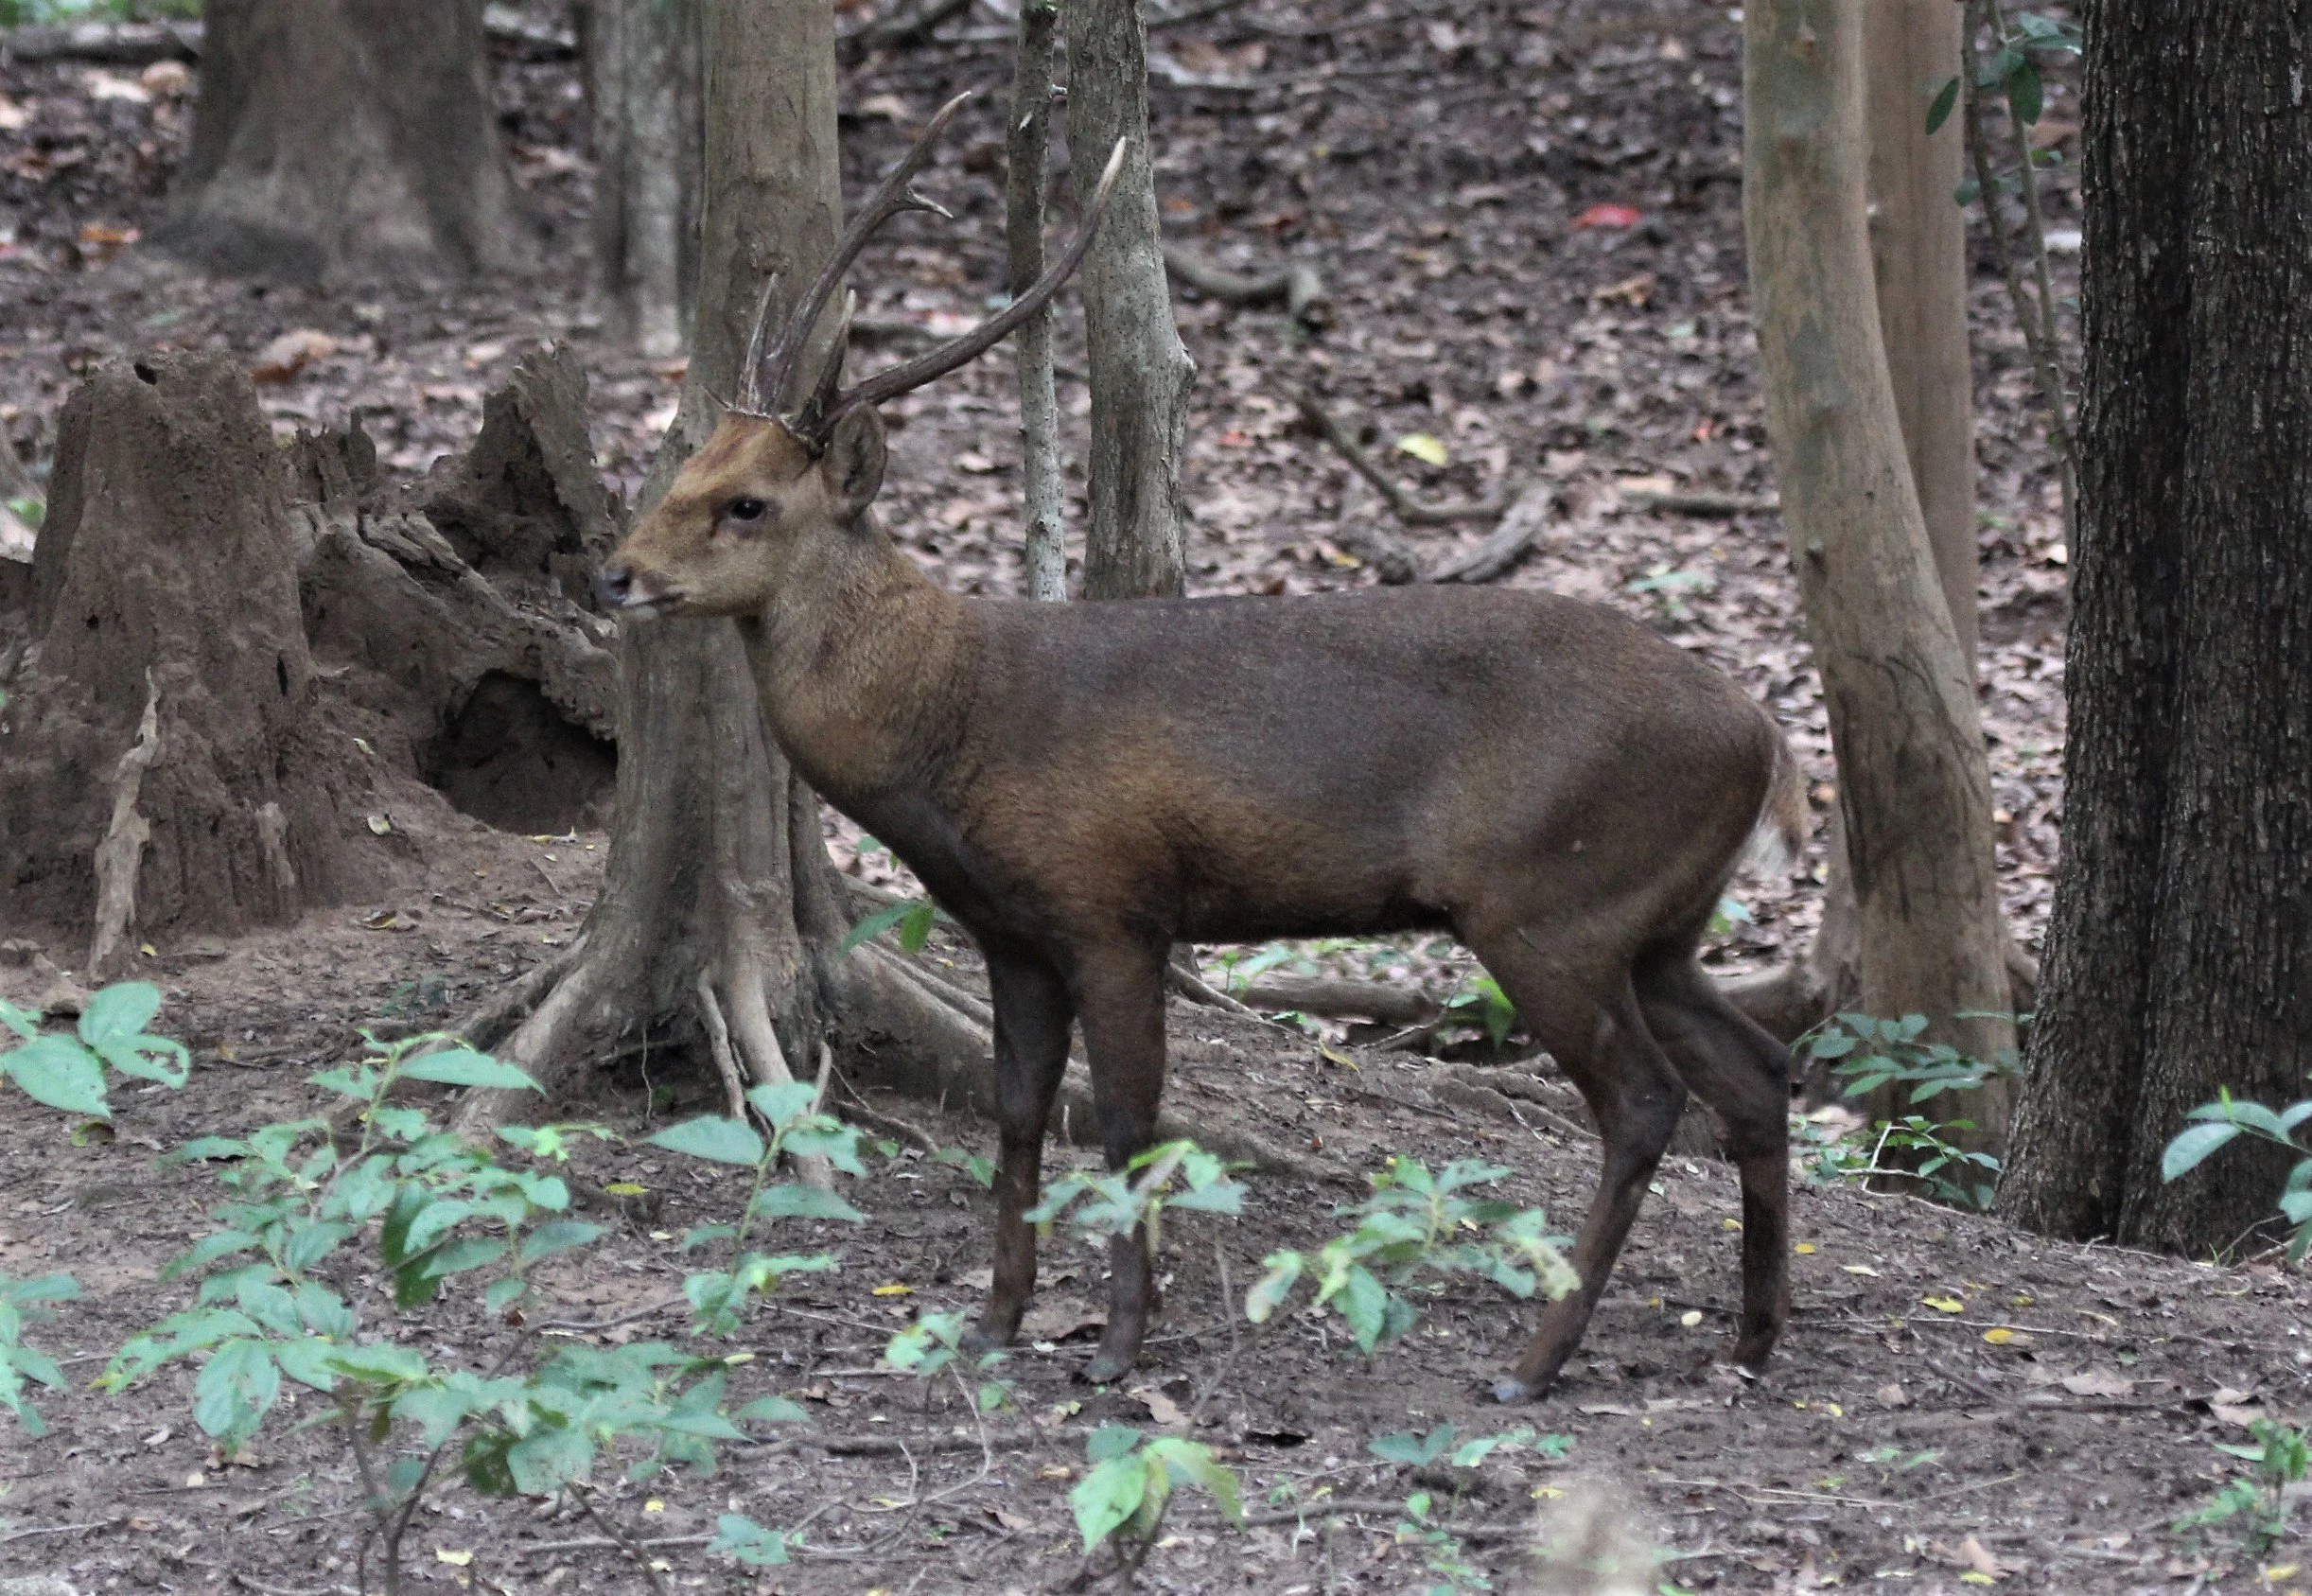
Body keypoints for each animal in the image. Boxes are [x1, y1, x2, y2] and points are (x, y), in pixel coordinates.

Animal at [594, 94, 1807, 1402]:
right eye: (687, 464)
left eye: (749, 503)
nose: (613, 572)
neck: (955, 734)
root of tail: (1768, 738)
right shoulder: (1009, 930)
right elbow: (1021, 1113)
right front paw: (997, 1320)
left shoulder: (1112, 902)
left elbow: (1129, 1119)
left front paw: (1118, 1344)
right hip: (1655, 920)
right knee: (1756, 1068)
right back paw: (1749, 1337)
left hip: (1547, 900)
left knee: (1643, 1098)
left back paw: (1531, 1362)